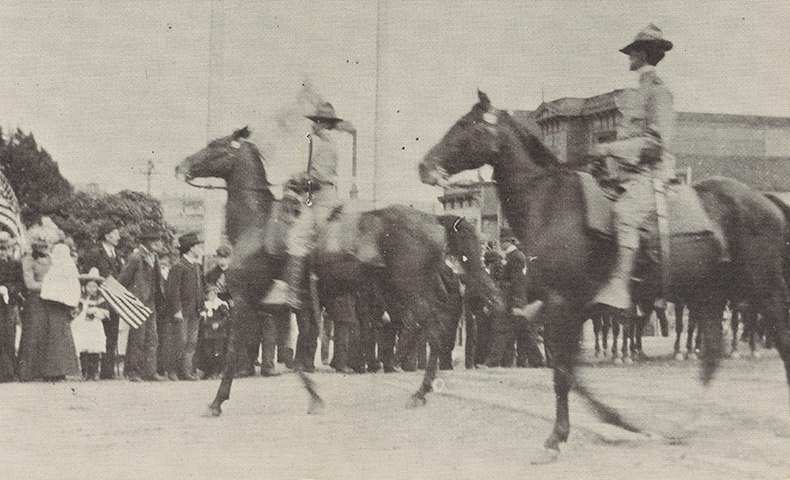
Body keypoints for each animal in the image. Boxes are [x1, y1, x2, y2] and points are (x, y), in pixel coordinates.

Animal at [177, 127, 504, 416]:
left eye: (215, 146)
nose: (181, 166)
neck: (258, 225)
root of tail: (433, 219)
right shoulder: (287, 306)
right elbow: (298, 353)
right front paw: (314, 397)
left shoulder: (246, 301)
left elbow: (235, 351)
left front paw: (216, 402)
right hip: (410, 287)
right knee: (430, 324)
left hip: (408, 286)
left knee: (430, 327)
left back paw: (417, 388)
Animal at [420, 91, 790, 462]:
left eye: (465, 125)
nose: (425, 166)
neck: (552, 202)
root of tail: (765, 200)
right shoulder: (566, 307)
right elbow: (569, 370)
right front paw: (611, 419)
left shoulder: (564, 304)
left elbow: (563, 371)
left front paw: (558, 437)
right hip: (709, 295)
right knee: (712, 353)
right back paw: (682, 425)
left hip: (763, 289)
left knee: (780, 338)